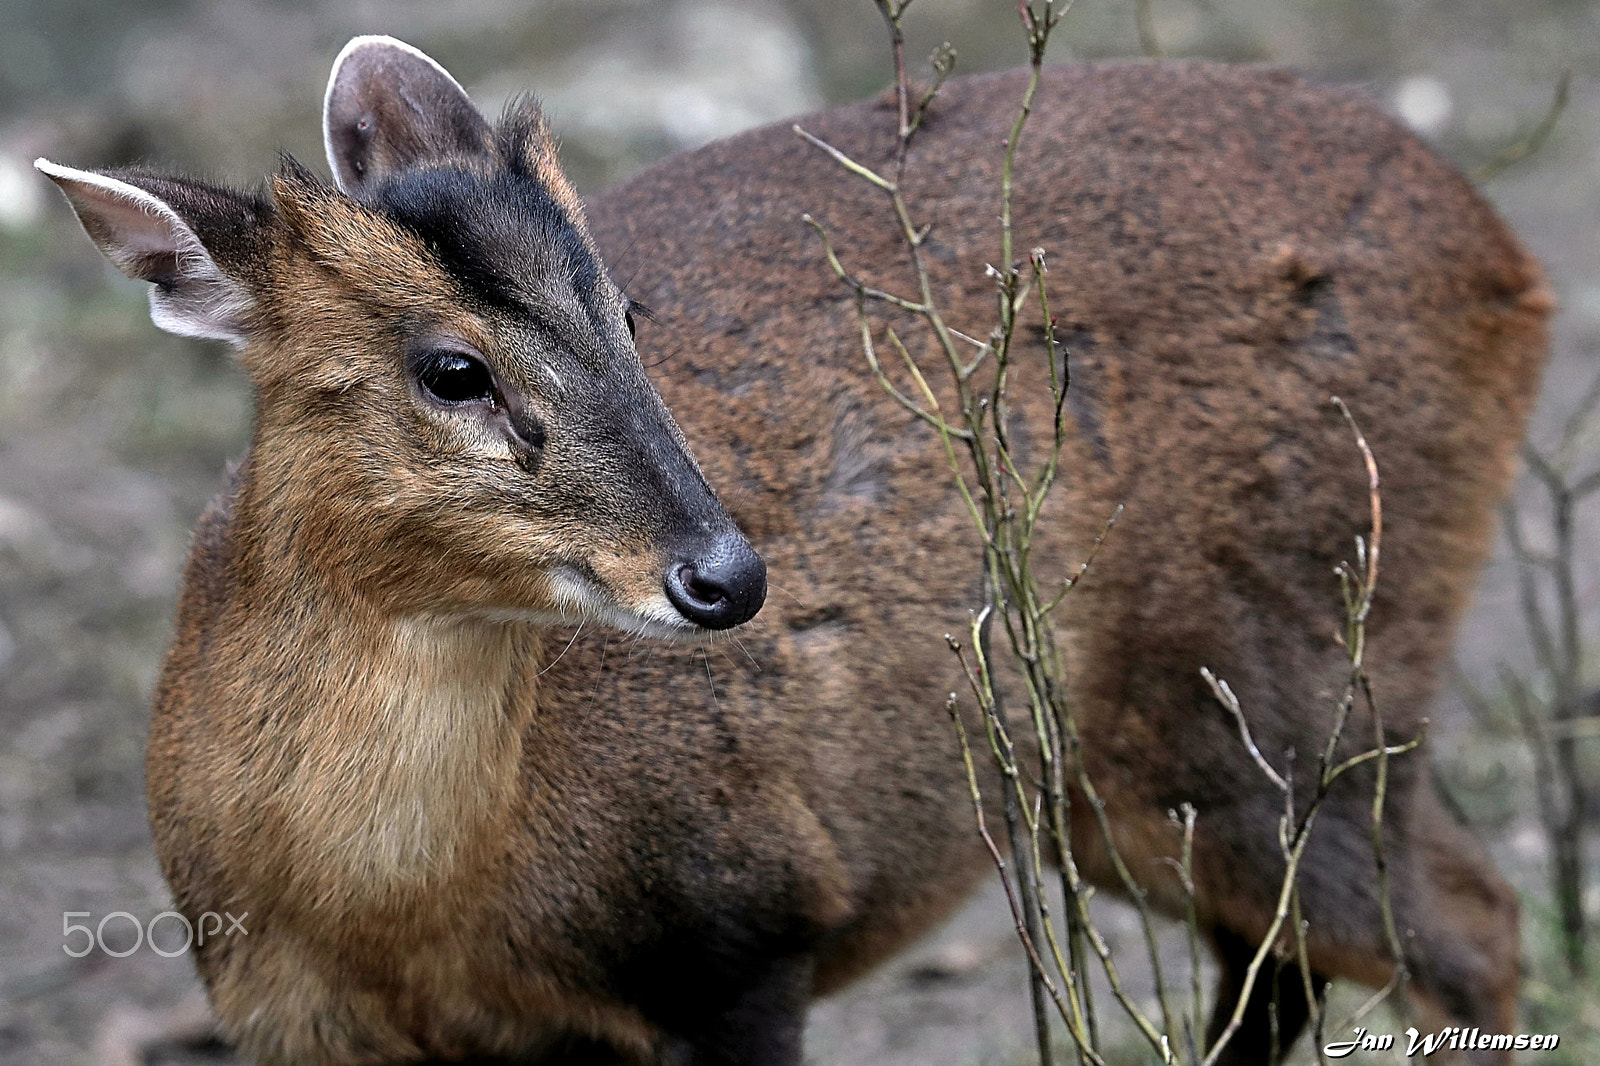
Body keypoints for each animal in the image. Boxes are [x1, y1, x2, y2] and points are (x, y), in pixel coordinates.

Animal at [40, 33, 1548, 1062]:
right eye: (452, 369)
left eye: (627, 312)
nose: (727, 574)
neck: (406, 920)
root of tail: (1508, 256)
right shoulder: (286, 1016)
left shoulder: (742, 927)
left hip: (1281, 679)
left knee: (1465, 926)